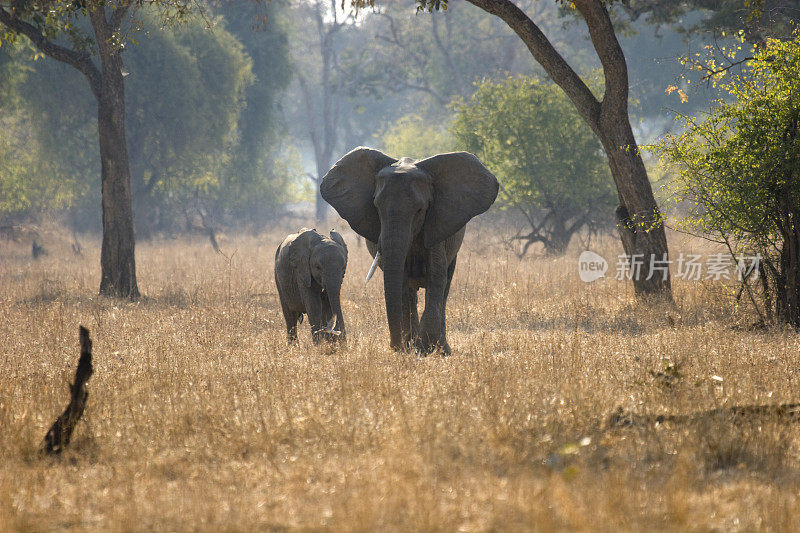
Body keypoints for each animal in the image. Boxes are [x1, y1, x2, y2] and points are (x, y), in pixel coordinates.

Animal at [320, 147, 496, 354]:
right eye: (376, 208)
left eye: (420, 210)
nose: (394, 346)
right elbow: (401, 281)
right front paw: (411, 348)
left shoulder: (437, 224)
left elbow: (437, 276)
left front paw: (427, 348)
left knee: (445, 284)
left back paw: (441, 348)